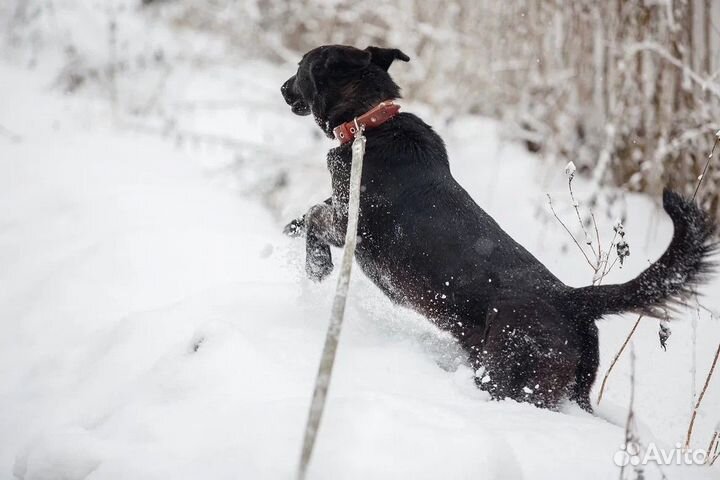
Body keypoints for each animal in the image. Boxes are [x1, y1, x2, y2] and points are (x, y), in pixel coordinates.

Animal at [278, 45, 716, 410]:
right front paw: (291, 230)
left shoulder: (350, 223)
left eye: (301, 67)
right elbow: (311, 210)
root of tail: (570, 300)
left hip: (508, 375)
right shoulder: (340, 209)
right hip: (571, 388)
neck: (369, 123)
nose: (282, 88)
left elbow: (316, 215)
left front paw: (316, 266)